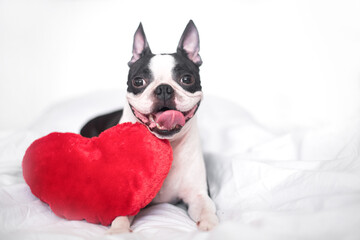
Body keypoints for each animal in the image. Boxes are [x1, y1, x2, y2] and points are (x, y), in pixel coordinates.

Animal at [80, 20, 218, 232]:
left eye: (187, 79)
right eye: (139, 81)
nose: (164, 89)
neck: (166, 145)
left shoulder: (198, 193)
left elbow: (206, 208)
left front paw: (210, 225)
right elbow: (120, 214)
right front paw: (119, 230)